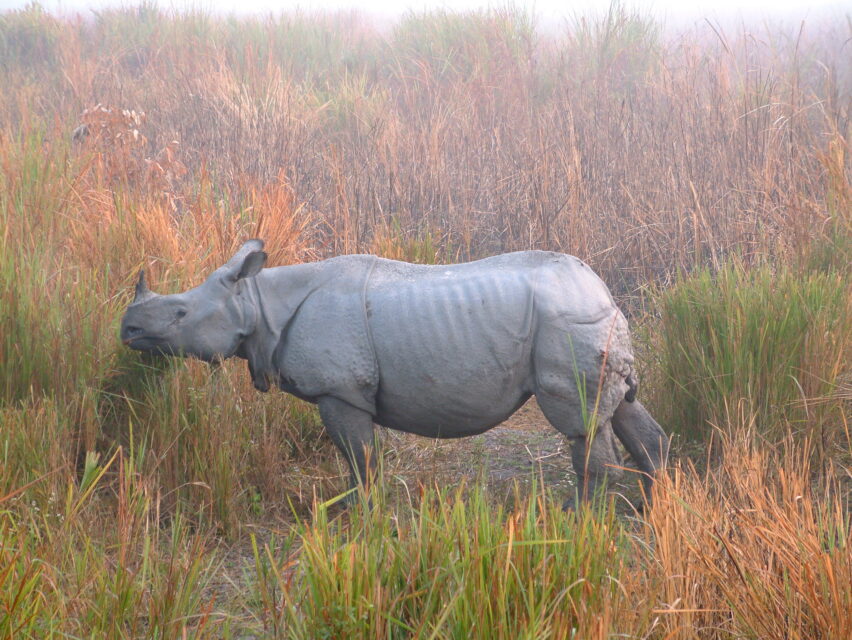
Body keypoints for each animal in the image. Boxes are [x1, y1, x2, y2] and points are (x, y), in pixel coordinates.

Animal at [120, 239, 668, 507]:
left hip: (565, 321)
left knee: (582, 423)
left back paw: (580, 519)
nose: (127, 330)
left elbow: (359, 457)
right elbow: (361, 457)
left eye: (180, 315)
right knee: (620, 410)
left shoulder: (340, 390)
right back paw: (650, 507)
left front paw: (355, 512)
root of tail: (602, 290)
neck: (256, 302)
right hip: (592, 321)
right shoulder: (343, 389)